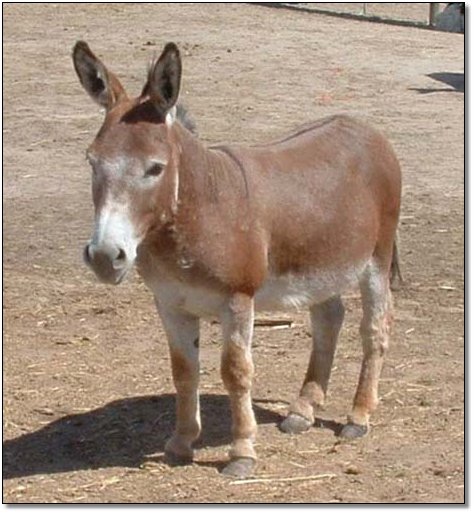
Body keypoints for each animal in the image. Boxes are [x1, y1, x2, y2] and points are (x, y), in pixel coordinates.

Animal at [72, 41, 401, 478]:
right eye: (92, 161)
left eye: (155, 168)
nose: (105, 257)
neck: (196, 210)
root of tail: (364, 126)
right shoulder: (170, 302)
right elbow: (184, 370)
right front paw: (181, 443)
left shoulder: (237, 299)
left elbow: (236, 371)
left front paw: (242, 451)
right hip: (320, 262)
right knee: (329, 319)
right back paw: (302, 410)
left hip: (376, 260)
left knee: (375, 329)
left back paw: (358, 417)